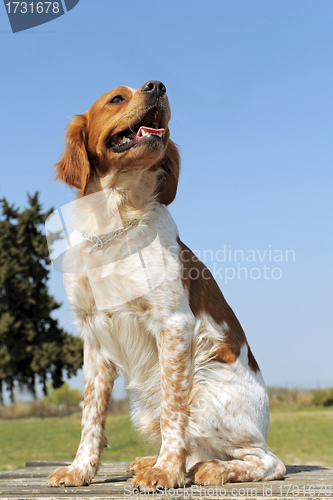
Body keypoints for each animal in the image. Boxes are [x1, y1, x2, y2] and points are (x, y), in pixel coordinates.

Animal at [46, 81, 286, 488]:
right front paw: (80, 470)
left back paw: (212, 469)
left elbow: (174, 410)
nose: (157, 86)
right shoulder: (93, 337)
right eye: (116, 98)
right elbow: (91, 414)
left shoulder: (173, 324)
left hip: (205, 391)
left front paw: (165, 471)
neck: (113, 223)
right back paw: (160, 462)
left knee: (268, 461)